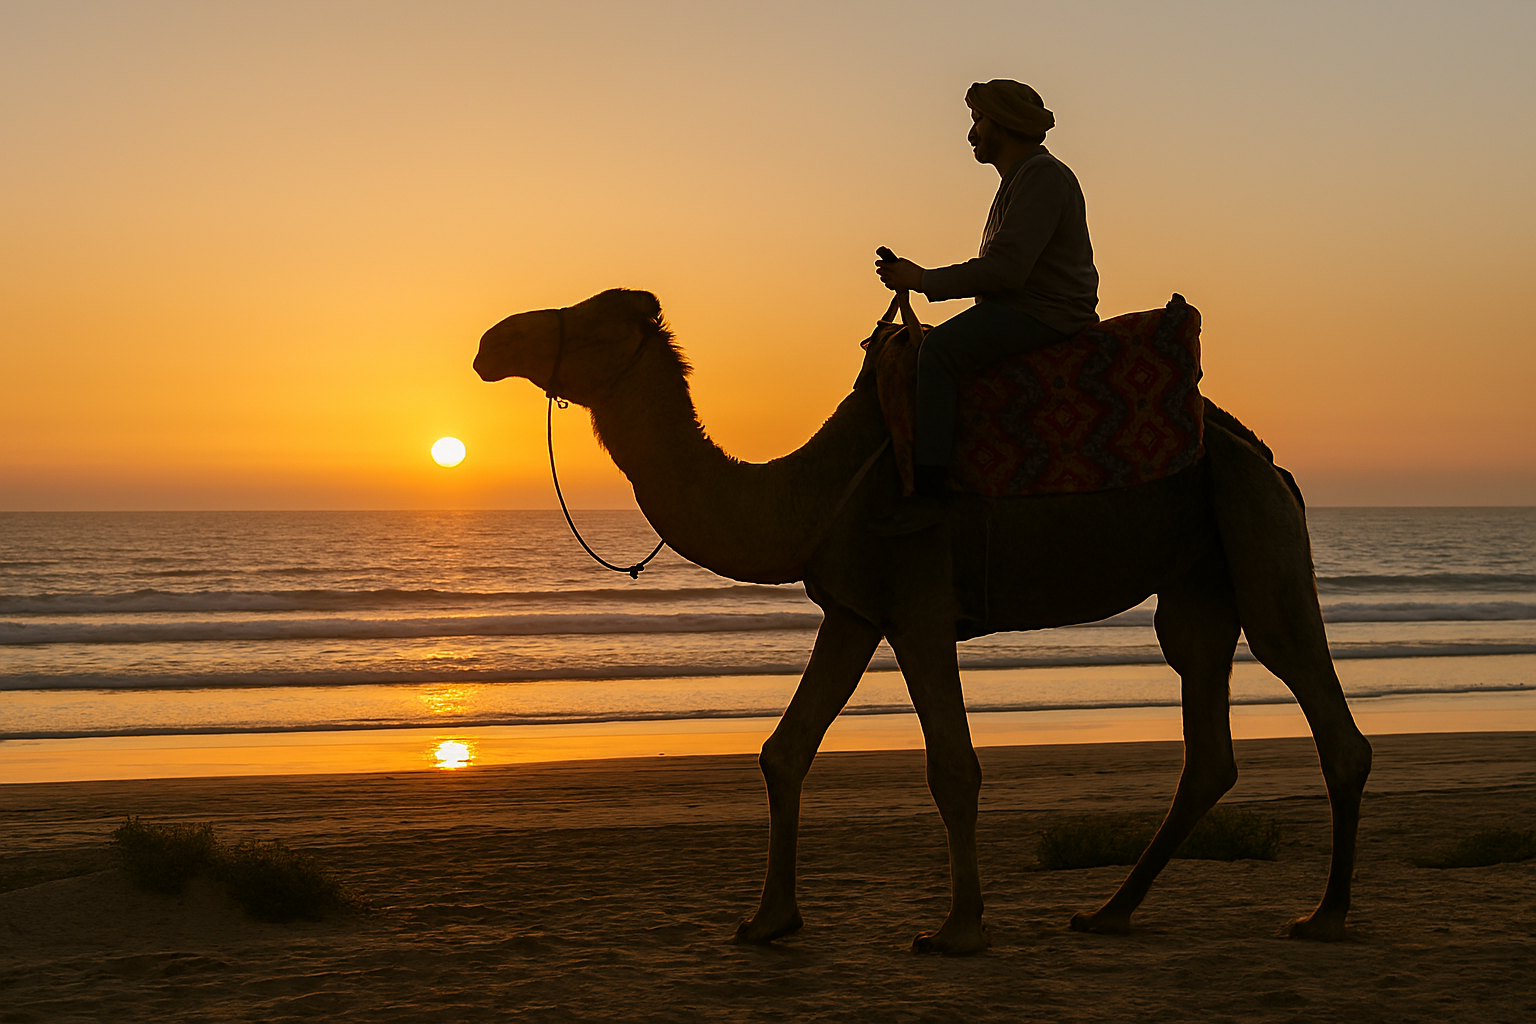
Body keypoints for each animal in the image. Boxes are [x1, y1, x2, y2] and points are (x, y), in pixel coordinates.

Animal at [473, 288, 1373, 954]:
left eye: (591, 319)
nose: (489, 339)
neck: (812, 490)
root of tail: (1267, 458)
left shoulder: (919, 604)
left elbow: (953, 769)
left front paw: (958, 929)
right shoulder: (852, 608)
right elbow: (783, 751)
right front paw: (769, 920)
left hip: (1257, 534)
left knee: (1320, 704)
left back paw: (1324, 915)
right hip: (1196, 582)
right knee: (1207, 738)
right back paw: (1110, 911)